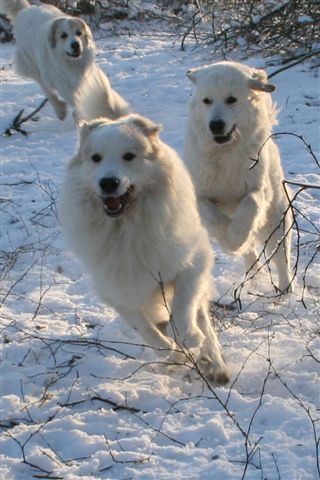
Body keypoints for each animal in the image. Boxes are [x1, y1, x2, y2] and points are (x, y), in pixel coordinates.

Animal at [1, 0, 129, 122]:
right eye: (63, 35)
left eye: (79, 33)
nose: (75, 44)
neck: (71, 63)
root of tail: (25, 10)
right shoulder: (62, 82)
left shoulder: (84, 77)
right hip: (34, 67)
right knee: (46, 88)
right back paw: (60, 110)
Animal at [59, 113, 230, 386]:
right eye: (96, 158)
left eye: (129, 156)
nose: (109, 183)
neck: (126, 227)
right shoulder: (117, 290)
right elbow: (143, 326)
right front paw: (168, 349)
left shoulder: (192, 263)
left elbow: (183, 307)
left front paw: (188, 336)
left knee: (202, 319)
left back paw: (213, 362)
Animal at [184, 60, 294, 292]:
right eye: (207, 101)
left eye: (231, 99)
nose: (215, 125)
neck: (225, 151)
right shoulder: (201, 194)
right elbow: (213, 216)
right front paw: (230, 241)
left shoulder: (258, 188)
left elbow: (250, 203)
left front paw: (235, 237)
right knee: (251, 253)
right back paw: (253, 275)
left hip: (276, 218)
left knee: (280, 256)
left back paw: (285, 289)